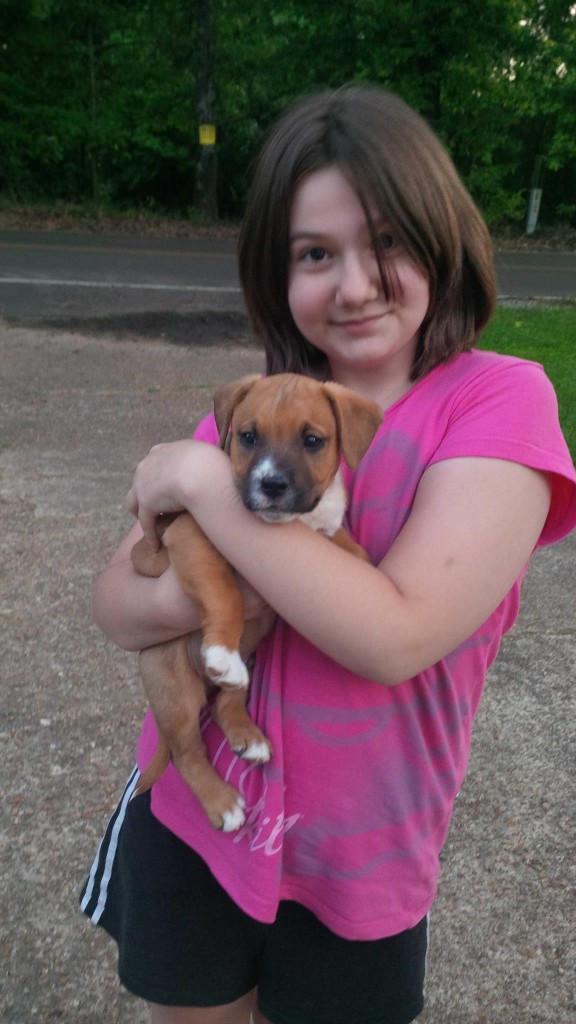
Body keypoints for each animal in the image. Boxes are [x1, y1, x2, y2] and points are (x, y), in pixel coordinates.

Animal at [130, 376, 381, 831]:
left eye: (312, 440)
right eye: (248, 436)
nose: (272, 485)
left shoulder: (325, 532)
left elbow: (348, 546)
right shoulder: (191, 536)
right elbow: (225, 592)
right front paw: (221, 651)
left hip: (251, 657)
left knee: (228, 700)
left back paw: (247, 736)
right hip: (174, 685)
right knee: (186, 750)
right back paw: (222, 803)